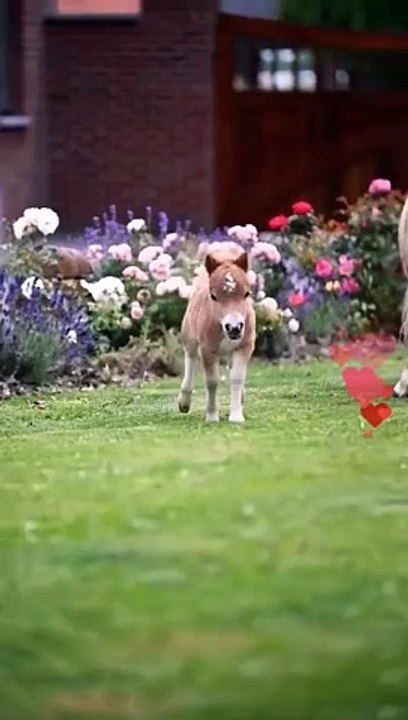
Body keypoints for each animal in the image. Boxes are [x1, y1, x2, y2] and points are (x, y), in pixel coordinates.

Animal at [178, 242, 256, 423]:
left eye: (247, 294)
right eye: (213, 296)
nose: (234, 327)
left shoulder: (245, 346)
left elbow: (237, 378)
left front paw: (236, 416)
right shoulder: (208, 349)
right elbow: (211, 381)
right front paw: (212, 416)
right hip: (189, 335)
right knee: (190, 358)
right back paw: (184, 401)